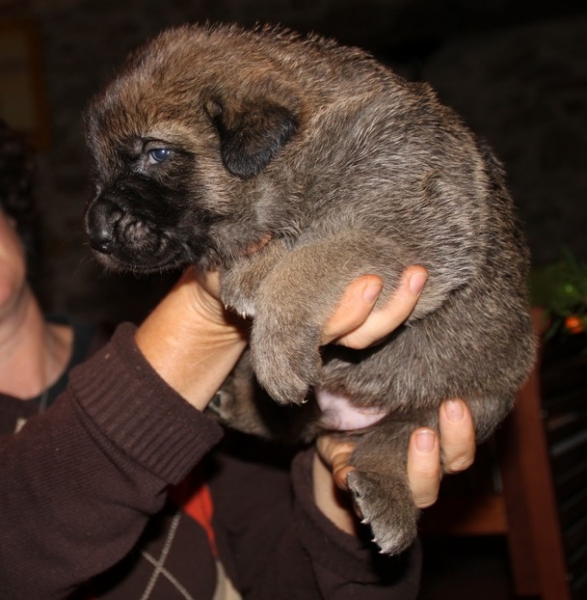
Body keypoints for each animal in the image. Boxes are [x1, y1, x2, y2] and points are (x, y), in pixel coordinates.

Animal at [82, 24, 536, 556]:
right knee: (294, 426)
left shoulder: (401, 237)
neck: (303, 154)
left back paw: (385, 494)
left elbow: (308, 261)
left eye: (157, 153)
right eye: (100, 170)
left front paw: (274, 341)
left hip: (460, 409)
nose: (96, 233)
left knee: (395, 440)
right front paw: (253, 268)